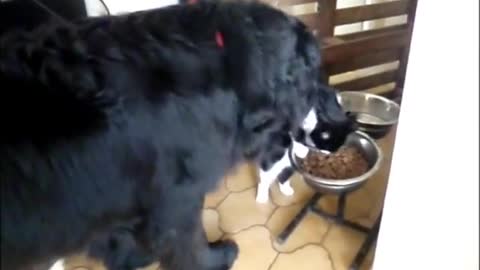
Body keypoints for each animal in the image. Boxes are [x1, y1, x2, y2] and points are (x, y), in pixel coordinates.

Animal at [0, 1, 352, 268]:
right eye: (314, 75)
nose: (333, 102)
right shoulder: (176, 197)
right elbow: (189, 241)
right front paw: (216, 258)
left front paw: (130, 258)